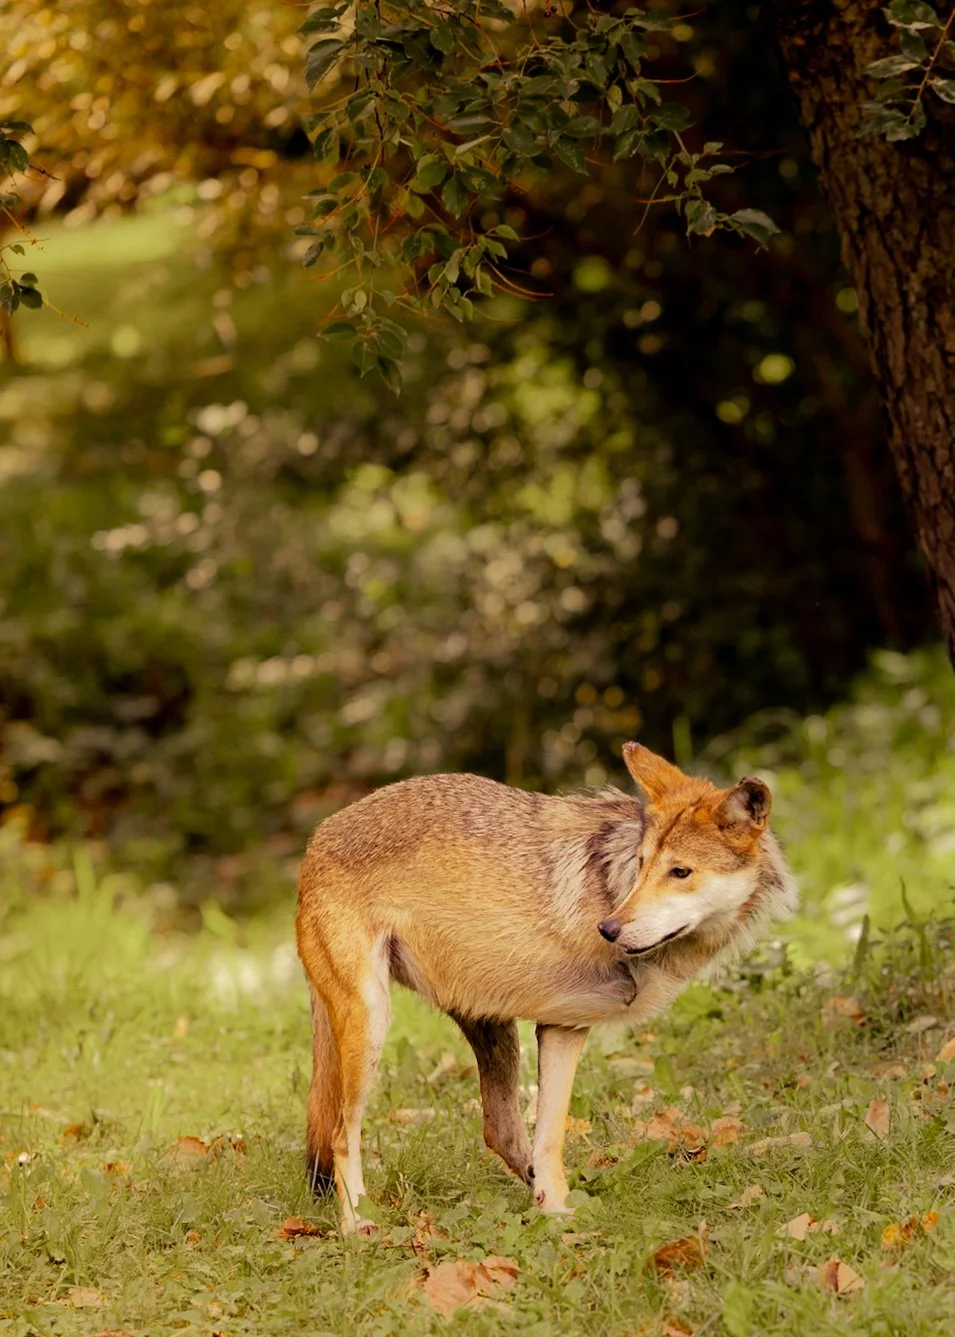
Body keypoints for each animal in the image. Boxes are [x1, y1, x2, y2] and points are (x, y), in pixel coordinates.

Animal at [295, 741, 796, 1234]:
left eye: (681, 872)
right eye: (642, 865)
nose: (608, 928)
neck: (611, 883)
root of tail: (316, 839)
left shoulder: (562, 1027)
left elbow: (548, 1138)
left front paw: (554, 1212)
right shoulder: (560, 1025)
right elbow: (551, 1135)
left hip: (489, 1026)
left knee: (498, 1131)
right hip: (373, 1025)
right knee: (341, 1134)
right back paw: (358, 1224)